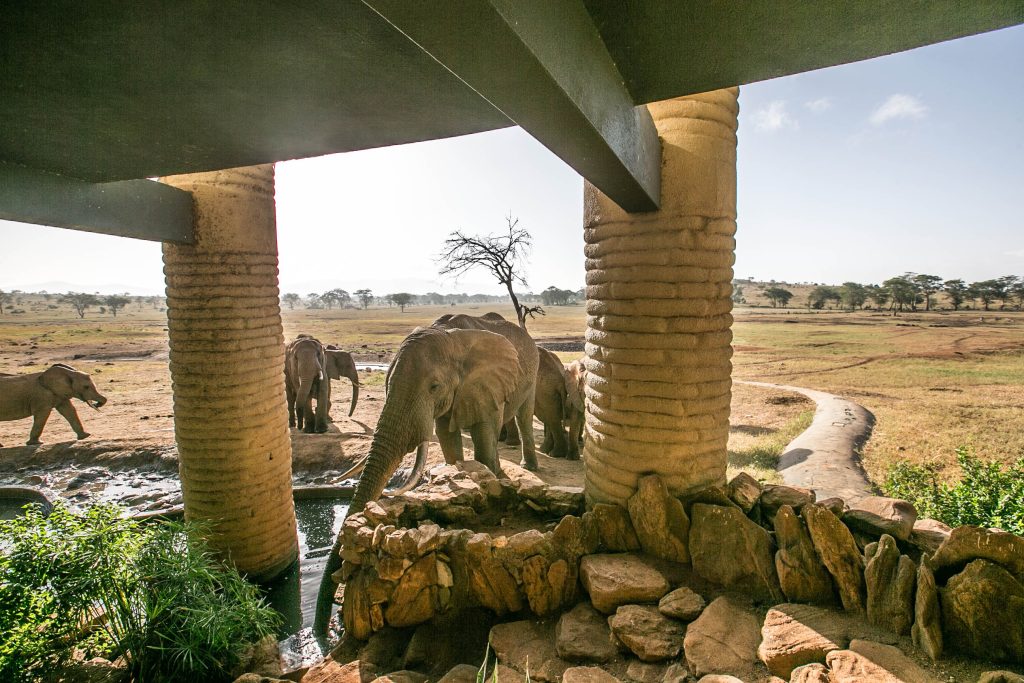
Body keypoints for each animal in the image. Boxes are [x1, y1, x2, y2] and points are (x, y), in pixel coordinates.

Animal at [313, 313, 540, 638]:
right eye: (386, 384)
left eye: (433, 387)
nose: (323, 632)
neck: (450, 337)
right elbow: (447, 439)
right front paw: (464, 473)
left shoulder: (484, 384)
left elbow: (484, 436)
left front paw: (489, 476)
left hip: (531, 372)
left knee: (524, 415)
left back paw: (527, 467)